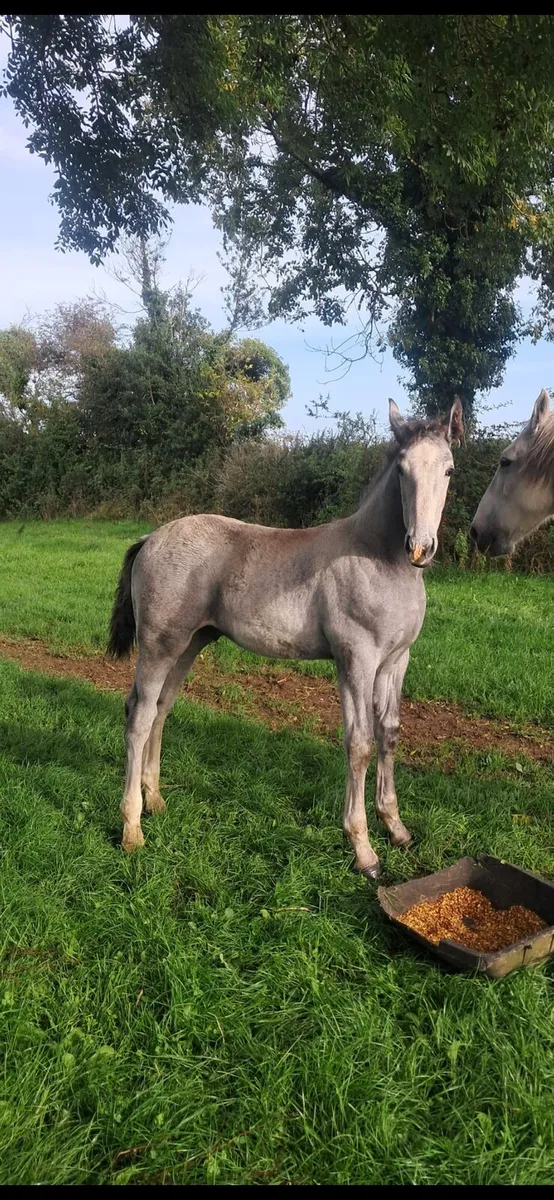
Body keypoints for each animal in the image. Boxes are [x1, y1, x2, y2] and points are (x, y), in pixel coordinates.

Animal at [108, 397, 463, 879]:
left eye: (448, 469)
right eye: (403, 468)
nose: (421, 548)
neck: (377, 558)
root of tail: (150, 537)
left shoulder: (396, 660)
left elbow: (389, 734)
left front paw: (396, 828)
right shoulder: (356, 660)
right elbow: (359, 743)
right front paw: (364, 850)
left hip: (190, 643)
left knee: (161, 709)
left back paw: (156, 800)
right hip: (160, 644)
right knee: (140, 715)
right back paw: (132, 828)